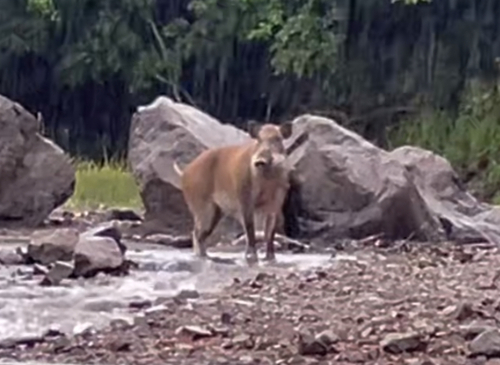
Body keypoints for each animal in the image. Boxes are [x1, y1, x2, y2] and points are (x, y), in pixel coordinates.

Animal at [175, 121, 294, 264]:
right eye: (259, 140)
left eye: (277, 139)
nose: (260, 161)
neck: (267, 181)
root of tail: (184, 172)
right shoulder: (244, 197)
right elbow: (250, 227)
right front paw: (252, 258)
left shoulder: (276, 204)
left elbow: (270, 232)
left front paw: (271, 259)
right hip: (201, 206)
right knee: (196, 232)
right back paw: (203, 257)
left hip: (216, 212)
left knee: (200, 234)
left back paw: (206, 256)